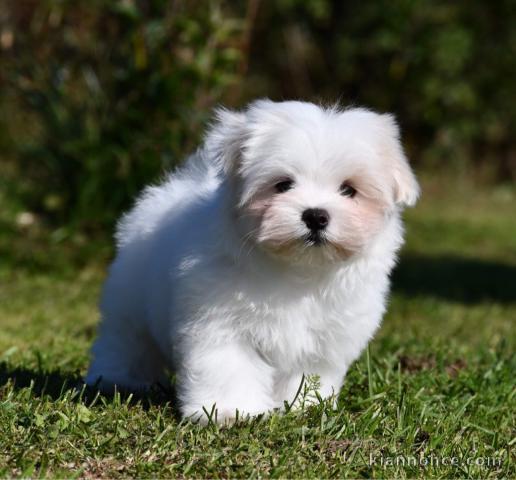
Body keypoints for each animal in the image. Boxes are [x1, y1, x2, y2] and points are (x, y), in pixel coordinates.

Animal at [86, 99, 420, 422]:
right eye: (283, 184)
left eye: (349, 190)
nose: (315, 215)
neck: (299, 269)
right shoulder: (220, 322)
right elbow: (229, 365)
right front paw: (229, 411)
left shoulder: (325, 334)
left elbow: (309, 371)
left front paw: (303, 406)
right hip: (129, 301)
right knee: (127, 340)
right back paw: (119, 380)